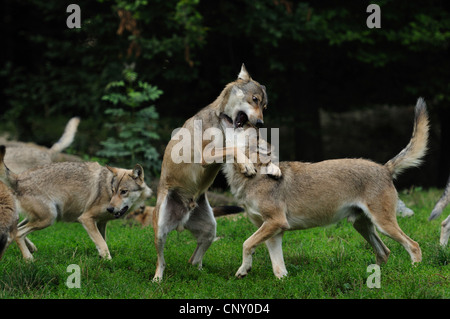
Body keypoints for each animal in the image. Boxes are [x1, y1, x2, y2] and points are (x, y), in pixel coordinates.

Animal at [0, 146, 153, 262]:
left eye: (124, 191)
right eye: (114, 190)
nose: (110, 208)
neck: (107, 191)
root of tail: (18, 177)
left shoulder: (101, 223)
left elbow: (102, 242)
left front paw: (101, 259)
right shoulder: (86, 218)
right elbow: (103, 244)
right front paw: (109, 262)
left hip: (39, 218)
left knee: (16, 231)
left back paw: (30, 249)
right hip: (49, 218)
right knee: (19, 233)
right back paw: (29, 259)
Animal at [221, 98, 428, 280]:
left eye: (243, 125)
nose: (227, 112)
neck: (252, 175)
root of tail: (385, 168)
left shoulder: (275, 223)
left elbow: (246, 244)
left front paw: (243, 269)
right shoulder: (274, 232)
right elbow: (278, 269)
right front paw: (278, 282)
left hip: (383, 225)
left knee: (413, 246)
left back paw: (414, 272)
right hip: (362, 226)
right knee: (384, 252)